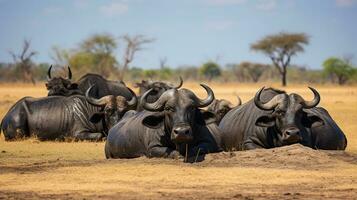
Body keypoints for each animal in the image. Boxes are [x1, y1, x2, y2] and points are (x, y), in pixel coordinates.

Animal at [0, 86, 137, 141]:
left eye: (123, 112)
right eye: (108, 110)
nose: (117, 125)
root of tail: (6, 117)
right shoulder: (78, 133)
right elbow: (99, 135)